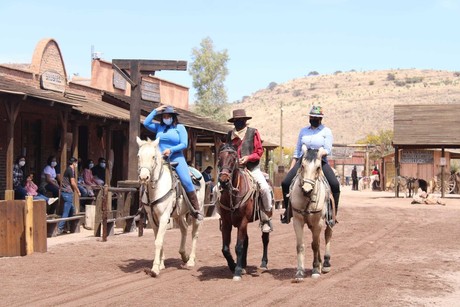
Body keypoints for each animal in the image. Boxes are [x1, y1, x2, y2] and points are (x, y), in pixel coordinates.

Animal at [137, 138, 205, 278]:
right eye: (138, 156)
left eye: (153, 157)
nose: (144, 177)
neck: (156, 189)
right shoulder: (152, 218)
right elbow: (158, 238)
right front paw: (162, 264)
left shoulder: (164, 217)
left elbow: (158, 241)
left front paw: (155, 268)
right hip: (178, 214)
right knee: (184, 229)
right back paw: (183, 255)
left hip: (197, 212)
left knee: (194, 234)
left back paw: (190, 260)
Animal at [216, 144, 270, 282]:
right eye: (219, 158)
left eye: (233, 158)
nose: (223, 181)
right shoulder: (226, 223)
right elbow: (225, 249)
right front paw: (234, 265)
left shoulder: (242, 221)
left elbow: (238, 246)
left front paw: (237, 271)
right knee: (246, 241)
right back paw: (244, 265)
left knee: (265, 239)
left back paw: (263, 263)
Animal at [292, 147, 334, 282]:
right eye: (302, 165)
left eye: (318, 167)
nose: (306, 190)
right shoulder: (297, 221)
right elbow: (300, 246)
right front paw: (299, 273)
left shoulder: (318, 222)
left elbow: (315, 245)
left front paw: (315, 269)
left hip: (328, 221)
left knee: (327, 235)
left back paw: (325, 264)